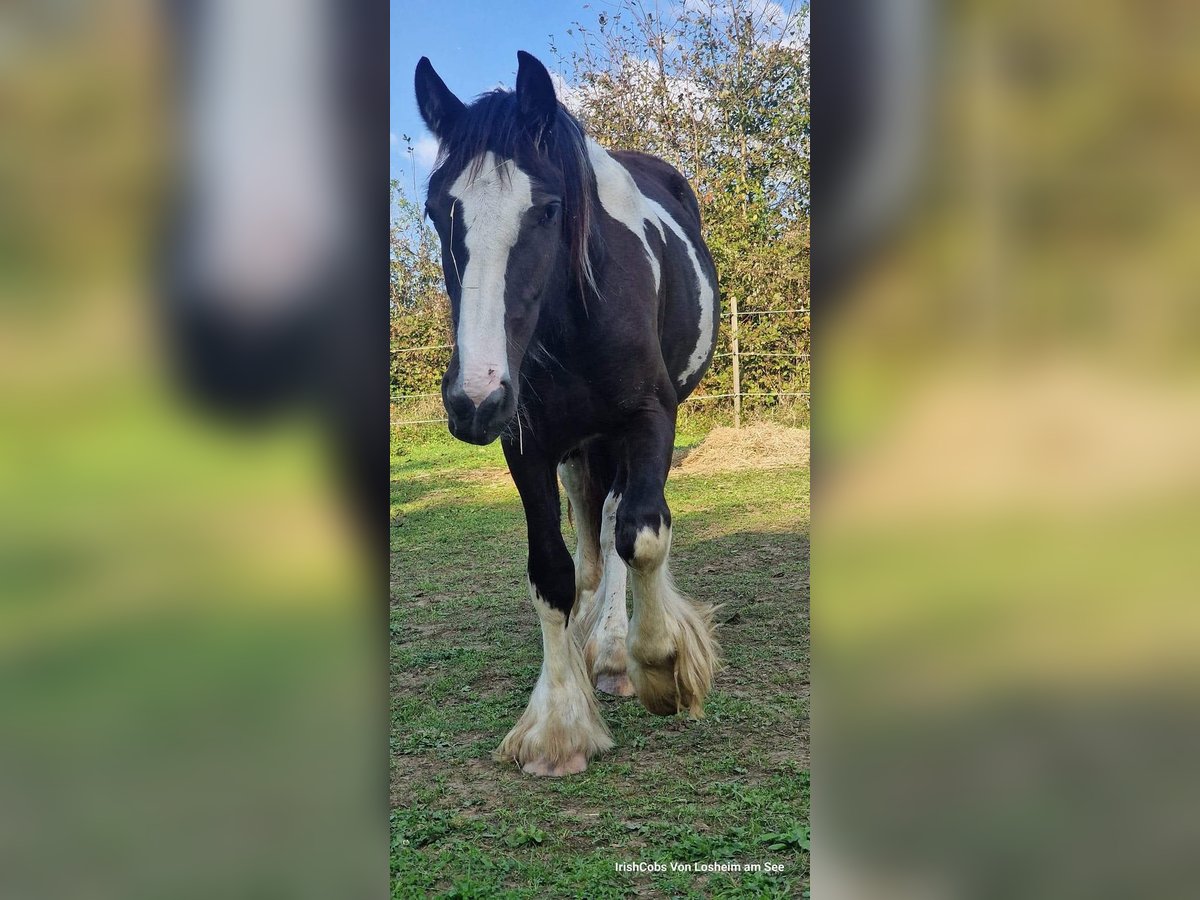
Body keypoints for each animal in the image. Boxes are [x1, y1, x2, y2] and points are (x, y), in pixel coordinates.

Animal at [412, 52, 720, 777]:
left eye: (549, 208)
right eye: (438, 209)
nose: (475, 397)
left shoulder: (648, 419)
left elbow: (641, 534)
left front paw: (660, 662)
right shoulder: (527, 444)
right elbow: (553, 573)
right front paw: (558, 727)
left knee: (615, 525)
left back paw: (612, 652)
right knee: (590, 539)